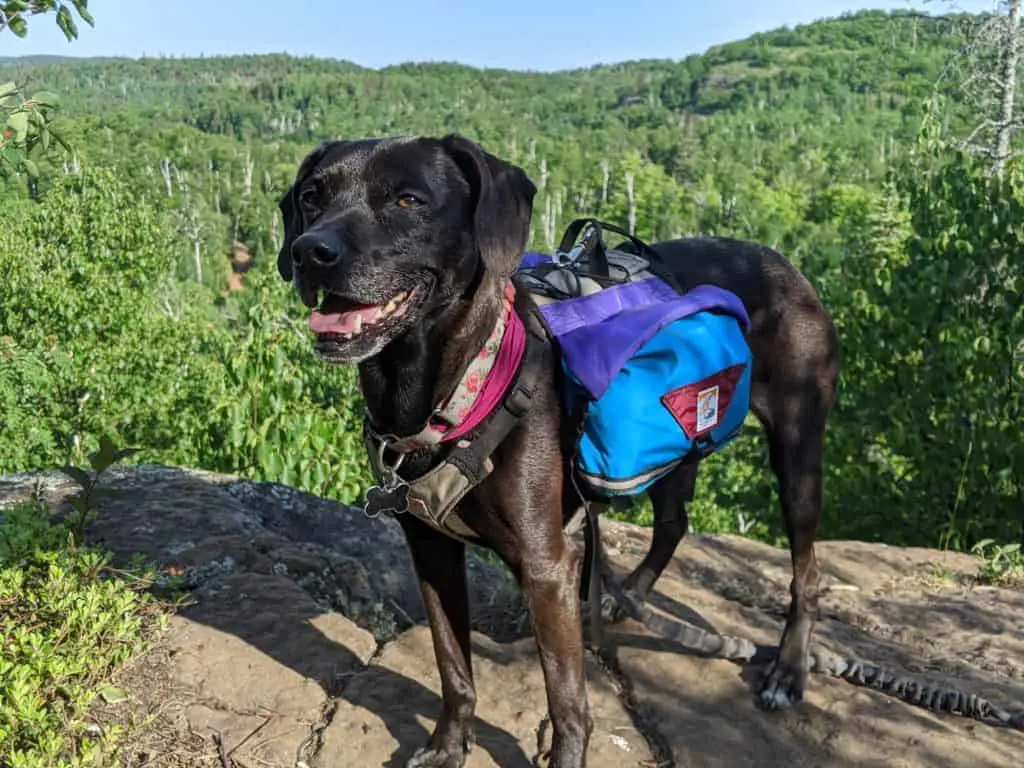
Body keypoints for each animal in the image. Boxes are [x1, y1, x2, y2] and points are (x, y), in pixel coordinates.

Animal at [274, 137, 839, 768]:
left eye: (408, 200)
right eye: (311, 196)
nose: (309, 251)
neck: (450, 388)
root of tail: (782, 261)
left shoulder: (547, 567)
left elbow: (567, 701)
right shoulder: (431, 548)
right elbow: (452, 664)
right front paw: (448, 745)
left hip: (797, 449)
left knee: (806, 572)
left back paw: (788, 670)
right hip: (678, 440)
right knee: (674, 522)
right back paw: (627, 596)